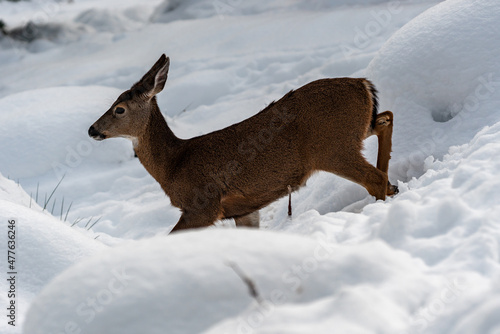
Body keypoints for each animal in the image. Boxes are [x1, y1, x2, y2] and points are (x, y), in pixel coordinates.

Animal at [88, 54, 396, 232]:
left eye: (119, 109)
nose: (92, 130)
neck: (173, 165)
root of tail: (363, 84)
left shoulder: (203, 204)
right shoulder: (245, 209)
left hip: (332, 146)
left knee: (374, 177)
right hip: (353, 133)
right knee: (386, 118)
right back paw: (394, 187)